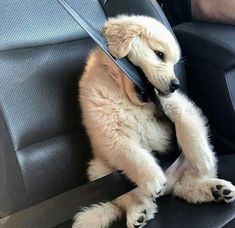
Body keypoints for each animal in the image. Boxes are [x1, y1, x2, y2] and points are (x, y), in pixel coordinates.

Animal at [73, 15, 235, 227]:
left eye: (173, 63)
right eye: (159, 54)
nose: (175, 85)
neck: (128, 97)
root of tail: (170, 187)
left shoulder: (178, 105)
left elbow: (188, 128)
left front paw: (202, 158)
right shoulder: (110, 132)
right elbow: (132, 154)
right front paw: (153, 179)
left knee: (186, 185)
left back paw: (215, 189)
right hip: (100, 171)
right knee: (128, 199)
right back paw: (139, 211)